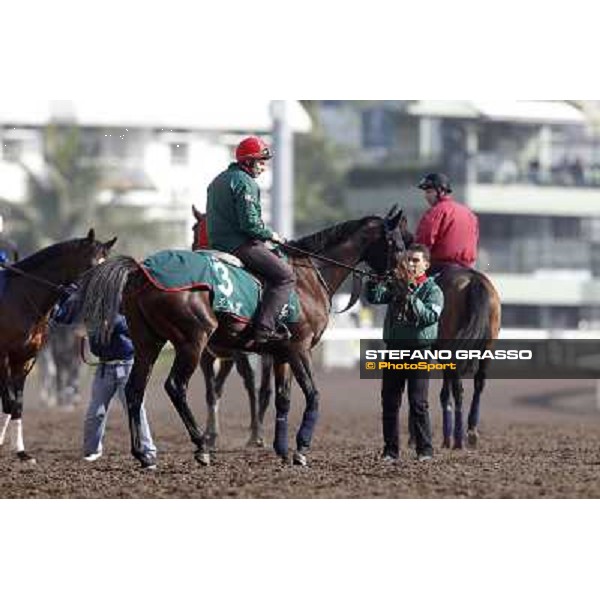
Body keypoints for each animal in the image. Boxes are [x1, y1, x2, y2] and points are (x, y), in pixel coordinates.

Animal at [0, 231, 116, 464]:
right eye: (91, 266)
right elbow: (9, 400)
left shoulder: (25, 359)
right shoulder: (4, 356)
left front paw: (22, 453)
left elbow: (17, 404)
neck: (19, 300)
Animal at [78, 210, 408, 468]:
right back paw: (201, 446)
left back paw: (144, 455)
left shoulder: (281, 353)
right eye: (397, 242)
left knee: (135, 390)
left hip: (149, 343)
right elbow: (313, 394)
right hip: (193, 342)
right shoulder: (299, 348)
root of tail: (142, 269)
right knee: (175, 386)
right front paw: (301, 448)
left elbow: (283, 398)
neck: (308, 277)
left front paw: (282, 449)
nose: (404, 280)